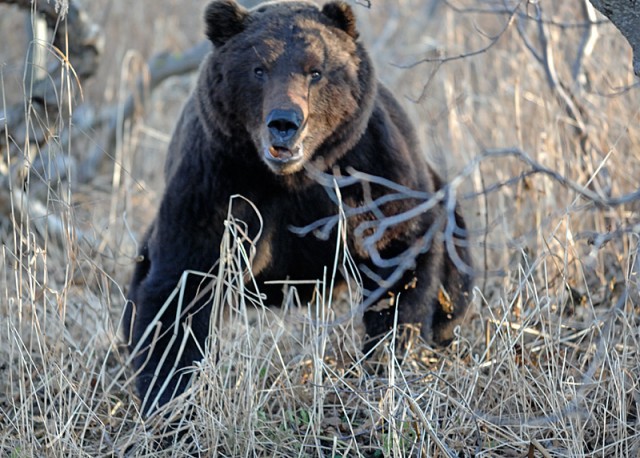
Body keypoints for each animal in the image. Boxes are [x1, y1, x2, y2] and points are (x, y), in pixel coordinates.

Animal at [125, 0, 472, 416]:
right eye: (258, 68)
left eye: (316, 71)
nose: (284, 122)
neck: (292, 179)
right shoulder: (217, 184)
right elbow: (181, 285)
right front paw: (170, 397)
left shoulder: (371, 173)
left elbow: (401, 257)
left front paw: (384, 362)